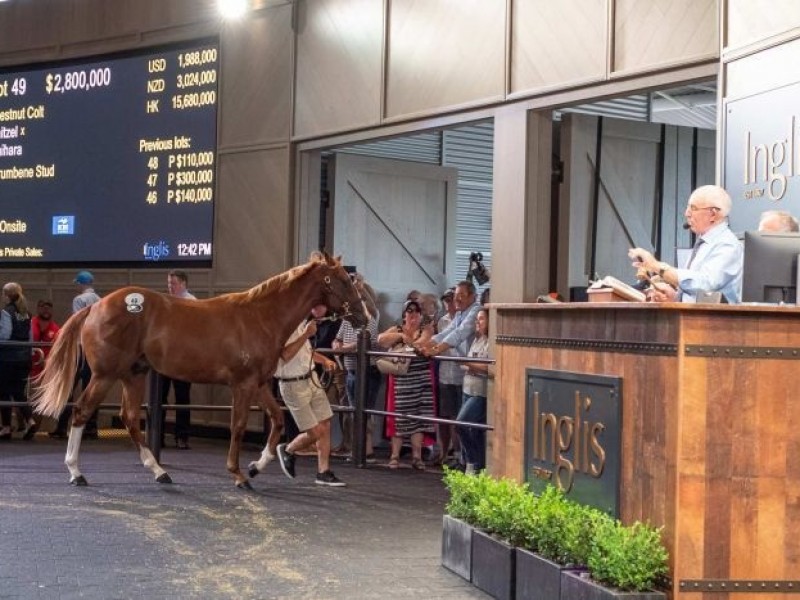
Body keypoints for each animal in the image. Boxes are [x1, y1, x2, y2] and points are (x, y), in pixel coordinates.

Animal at [32, 253, 368, 488]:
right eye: (342, 280)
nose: (364, 317)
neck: (261, 317)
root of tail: (95, 306)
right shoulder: (243, 385)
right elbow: (239, 426)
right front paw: (239, 475)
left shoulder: (259, 384)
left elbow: (277, 420)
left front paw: (257, 466)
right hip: (105, 376)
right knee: (81, 411)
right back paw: (76, 472)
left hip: (134, 374)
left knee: (129, 418)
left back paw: (159, 471)